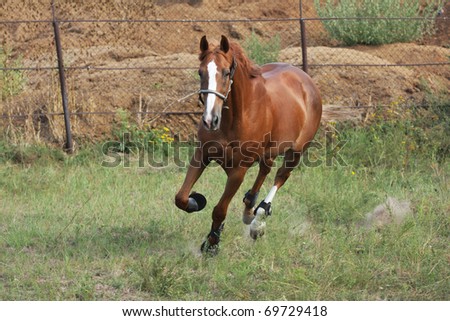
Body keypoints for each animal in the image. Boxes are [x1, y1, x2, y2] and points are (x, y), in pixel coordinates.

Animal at [174, 35, 322, 252]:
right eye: (200, 72)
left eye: (226, 72)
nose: (210, 120)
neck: (233, 120)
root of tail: (305, 79)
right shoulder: (202, 155)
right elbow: (181, 198)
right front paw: (197, 201)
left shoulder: (238, 170)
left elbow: (220, 209)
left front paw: (211, 244)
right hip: (270, 150)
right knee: (265, 171)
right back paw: (250, 207)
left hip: (296, 150)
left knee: (281, 176)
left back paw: (258, 220)